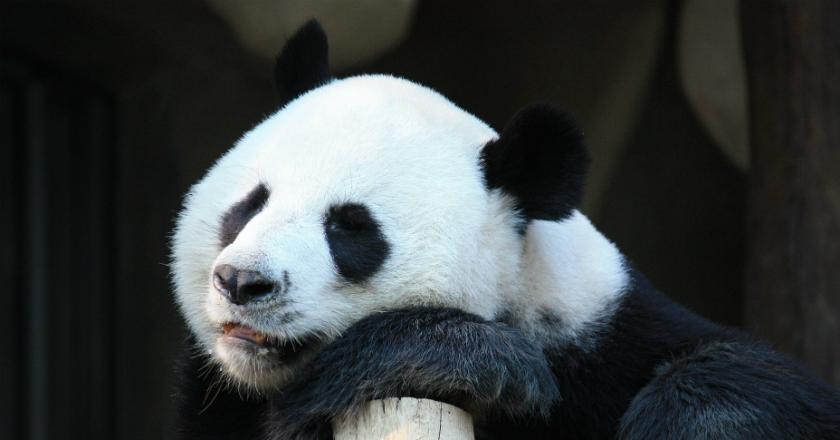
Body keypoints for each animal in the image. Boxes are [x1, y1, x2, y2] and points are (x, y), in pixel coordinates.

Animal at [172, 20, 840, 440]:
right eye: (250, 204)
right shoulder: (218, 402)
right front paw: (478, 360)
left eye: (351, 229)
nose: (243, 282)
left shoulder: (606, 340)